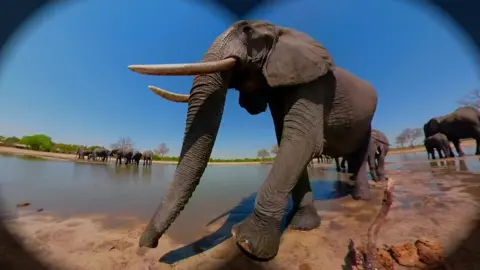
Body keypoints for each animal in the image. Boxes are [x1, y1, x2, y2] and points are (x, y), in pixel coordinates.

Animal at [127, 20, 378, 260]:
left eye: (247, 30)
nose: (147, 245)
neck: (283, 32)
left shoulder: (315, 83)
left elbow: (302, 142)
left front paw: (247, 243)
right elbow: (287, 139)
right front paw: (303, 225)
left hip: (367, 125)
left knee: (361, 154)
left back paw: (362, 198)